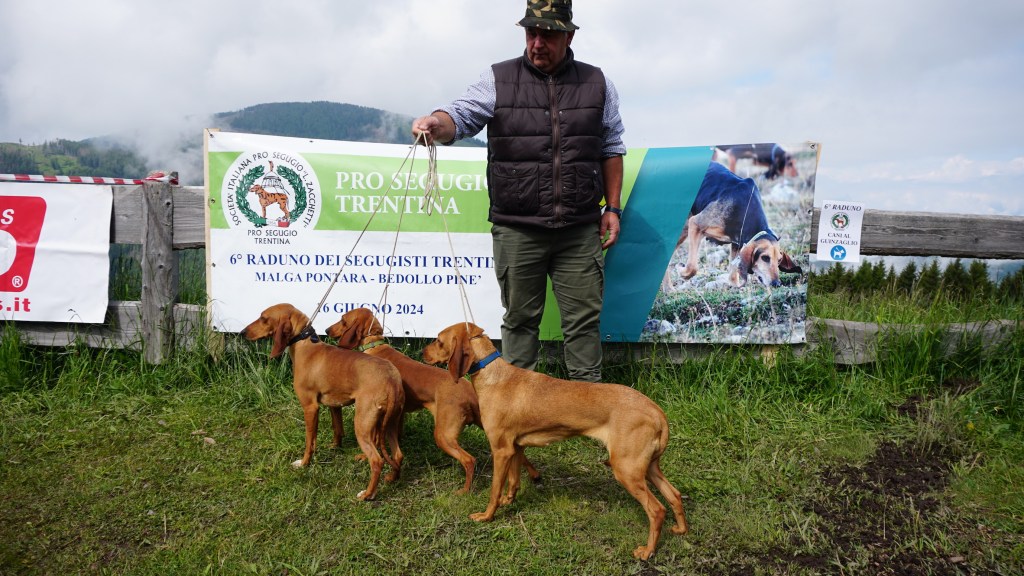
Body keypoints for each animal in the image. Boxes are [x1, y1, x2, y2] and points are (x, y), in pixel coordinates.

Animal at [241, 303, 404, 500]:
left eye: (263, 318)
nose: (242, 332)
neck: (305, 345)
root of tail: (392, 380)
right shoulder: (334, 405)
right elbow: (337, 430)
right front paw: (335, 447)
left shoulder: (310, 408)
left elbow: (310, 442)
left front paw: (304, 463)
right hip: (389, 424)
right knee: (398, 455)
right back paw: (393, 478)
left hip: (362, 425)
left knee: (377, 461)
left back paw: (367, 494)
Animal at [326, 307, 540, 494]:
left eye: (343, 319)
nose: (327, 330)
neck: (375, 346)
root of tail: (469, 391)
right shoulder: (397, 415)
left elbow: (375, 441)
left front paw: (364, 456)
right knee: (520, 454)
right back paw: (534, 475)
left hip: (443, 435)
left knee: (469, 460)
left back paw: (464, 491)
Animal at [422, 322, 688, 560]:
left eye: (438, 341)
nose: (422, 354)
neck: (495, 376)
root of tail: (656, 411)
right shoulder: (515, 448)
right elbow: (514, 481)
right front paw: (509, 501)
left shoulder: (500, 450)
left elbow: (494, 490)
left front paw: (487, 516)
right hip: (648, 467)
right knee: (674, 494)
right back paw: (680, 529)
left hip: (626, 470)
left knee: (656, 509)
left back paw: (647, 551)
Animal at [663, 161, 802, 291]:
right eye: (765, 258)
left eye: (779, 260)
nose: (777, 284)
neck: (745, 208)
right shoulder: (695, 223)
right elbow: (692, 267)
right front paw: (682, 272)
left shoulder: (737, 243)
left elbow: (733, 272)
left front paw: (735, 285)